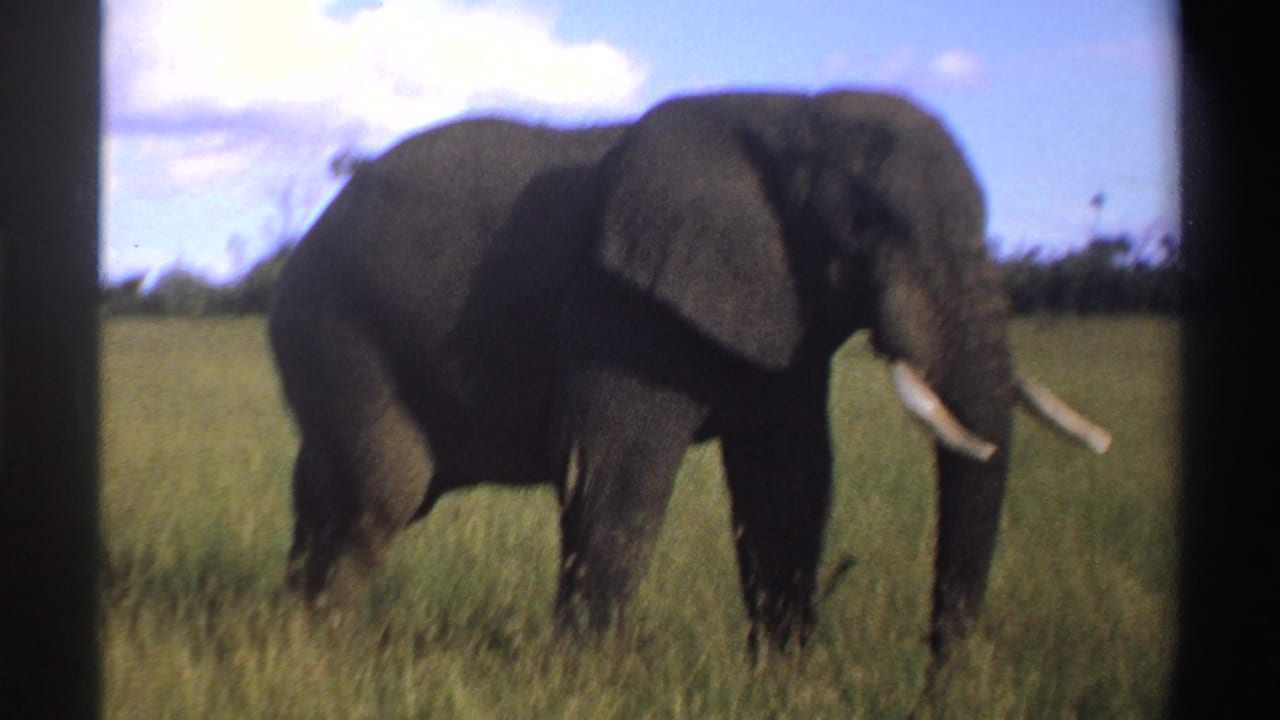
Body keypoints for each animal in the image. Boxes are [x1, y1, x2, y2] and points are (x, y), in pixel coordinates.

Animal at [269, 89, 1110, 673]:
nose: (935, 681)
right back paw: (326, 661)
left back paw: (289, 638)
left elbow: (789, 485)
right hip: (335, 323)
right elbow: (616, 480)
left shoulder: (781, 312)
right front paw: (581, 687)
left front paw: (786, 686)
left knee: (327, 488)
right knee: (384, 495)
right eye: (865, 225)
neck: (793, 118)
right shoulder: (621, 307)